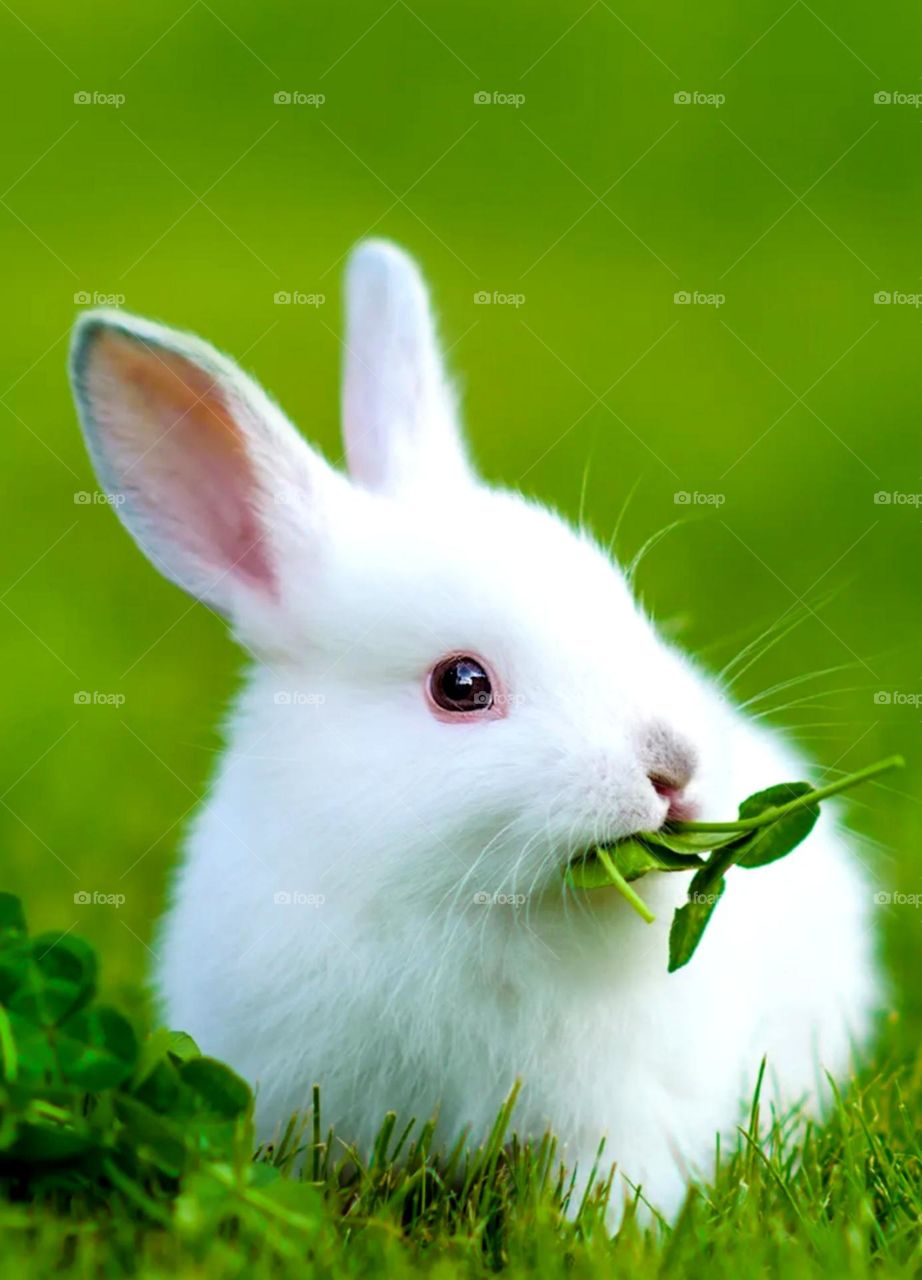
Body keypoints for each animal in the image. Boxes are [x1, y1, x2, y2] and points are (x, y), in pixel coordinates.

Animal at [68, 239, 879, 1223]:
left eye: (631, 609)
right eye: (461, 685)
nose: (674, 768)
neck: (459, 904)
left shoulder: (616, 1112)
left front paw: (608, 1236)